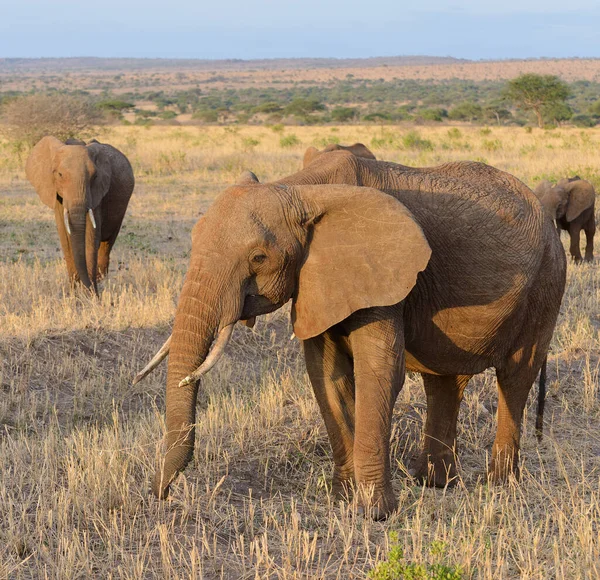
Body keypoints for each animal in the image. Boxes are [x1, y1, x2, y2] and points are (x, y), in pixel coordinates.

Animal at [26, 137, 134, 294]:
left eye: (95, 176)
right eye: (60, 174)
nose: (94, 292)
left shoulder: (97, 194)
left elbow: (91, 236)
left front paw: (90, 294)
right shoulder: (56, 195)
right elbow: (65, 236)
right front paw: (74, 292)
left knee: (108, 242)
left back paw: (100, 277)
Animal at [141, 152, 568, 520]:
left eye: (259, 257)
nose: (161, 494)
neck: (303, 189)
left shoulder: (380, 272)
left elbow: (378, 372)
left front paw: (372, 514)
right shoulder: (317, 279)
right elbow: (325, 374)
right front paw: (341, 498)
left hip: (547, 283)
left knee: (515, 377)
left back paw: (500, 485)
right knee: (446, 380)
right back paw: (436, 483)